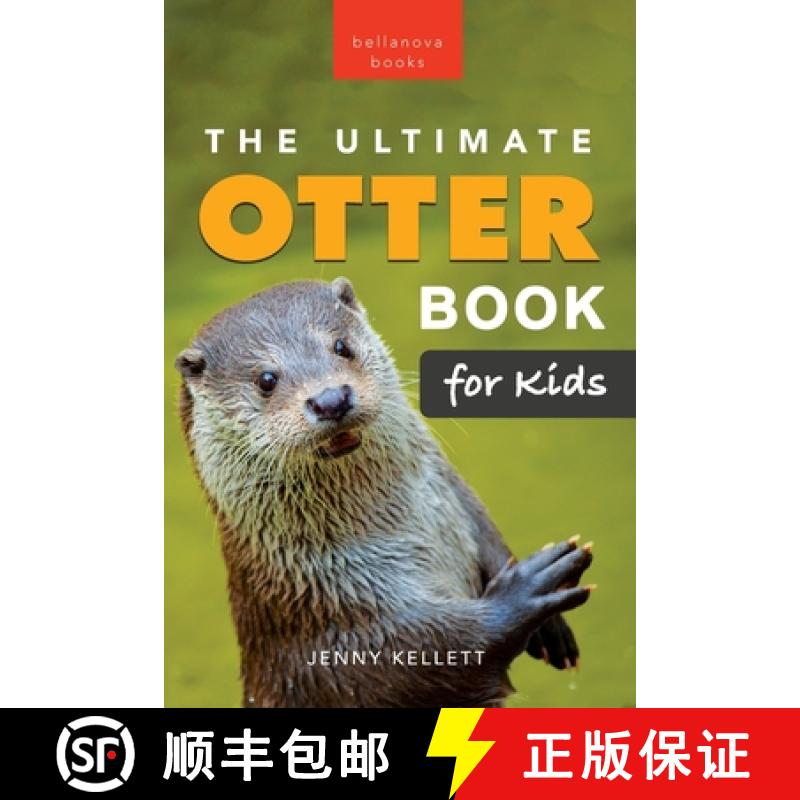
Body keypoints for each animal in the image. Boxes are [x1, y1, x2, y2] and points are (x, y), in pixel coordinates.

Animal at [176, 277, 594, 708]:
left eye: (341, 346)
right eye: (266, 380)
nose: (330, 399)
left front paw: (551, 626)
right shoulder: (337, 629)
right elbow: (428, 656)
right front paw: (528, 590)